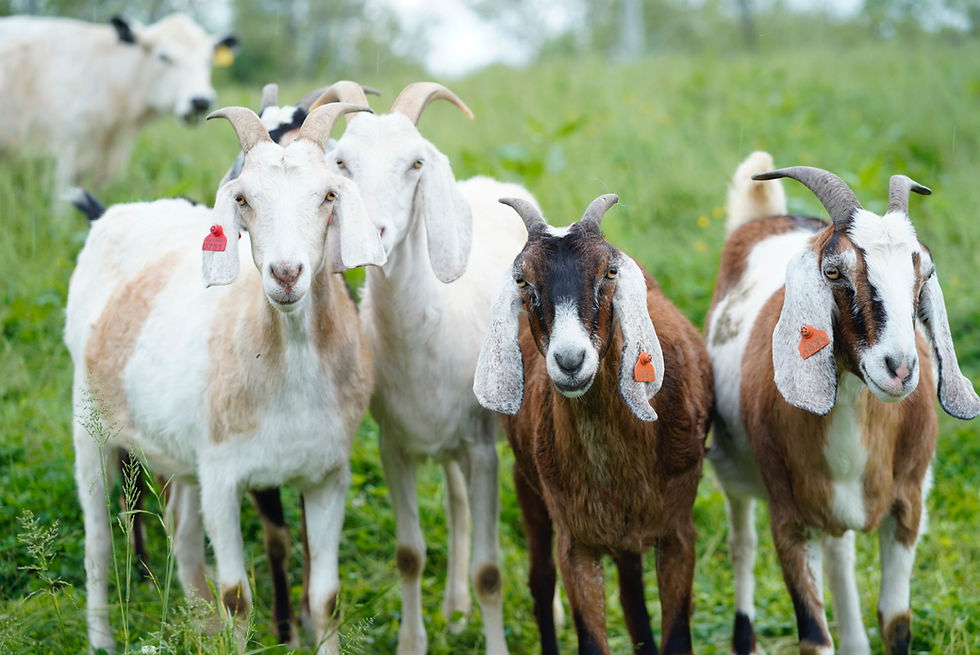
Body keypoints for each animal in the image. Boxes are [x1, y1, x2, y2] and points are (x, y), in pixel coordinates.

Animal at [64, 101, 384, 654]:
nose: (285, 274)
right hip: (92, 429)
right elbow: (238, 598)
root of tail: (115, 213)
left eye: (328, 194)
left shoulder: (327, 475)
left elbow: (326, 599)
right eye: (243, 199)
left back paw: (199, 621)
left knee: (183, 535)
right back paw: (103, 638)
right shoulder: (223, 476)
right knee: (99, 545)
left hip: (180, 452)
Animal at [310, 80, 535, 654]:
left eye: (415, 163)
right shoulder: (394, 446)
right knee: (455, 504)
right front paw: (413, 641)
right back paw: (454, 611)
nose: (373, 234)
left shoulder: (482, 449)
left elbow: (490, 572)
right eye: (341, 163)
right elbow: (409, 555)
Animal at [474, 194, 713, 655]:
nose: (571, 361)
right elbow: (589, 638)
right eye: (522, 280)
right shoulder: (577, 541)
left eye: (610, 272)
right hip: (527, 485)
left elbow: (676, 636)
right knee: (541, 580)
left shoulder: (678, 531)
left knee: (632, 593)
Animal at [705, 152, 980, 655]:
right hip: (733, 471)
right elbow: (815, 636)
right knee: (742, 545)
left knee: (839, 554)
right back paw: (744, 636)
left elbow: (895, 620)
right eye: (833, 271)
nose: (900, 368)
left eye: (924, 274)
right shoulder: (789, 519)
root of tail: (765, 217)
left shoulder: (908, 504)